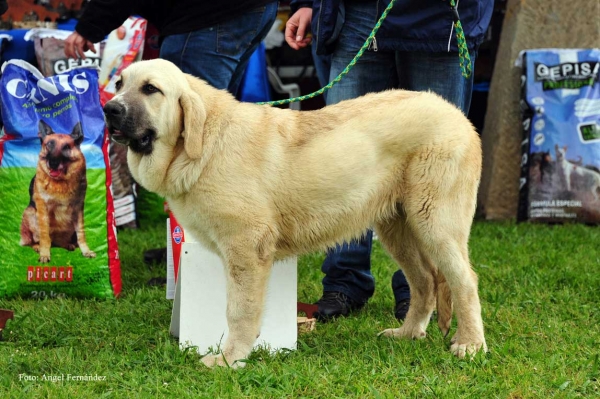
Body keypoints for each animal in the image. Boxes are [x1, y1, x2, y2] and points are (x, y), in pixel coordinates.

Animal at [103, 59, 488, 368]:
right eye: (119, 84)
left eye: (150, 89)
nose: (109, 109)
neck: (202, 144)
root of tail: (455, 113)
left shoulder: (246, 249)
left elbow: (239, 311)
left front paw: (230, 360)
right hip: (398, 229)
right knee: (424, 281)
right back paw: (408, 333)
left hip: (436, 223)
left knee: (464, 280)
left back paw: (470, 344)